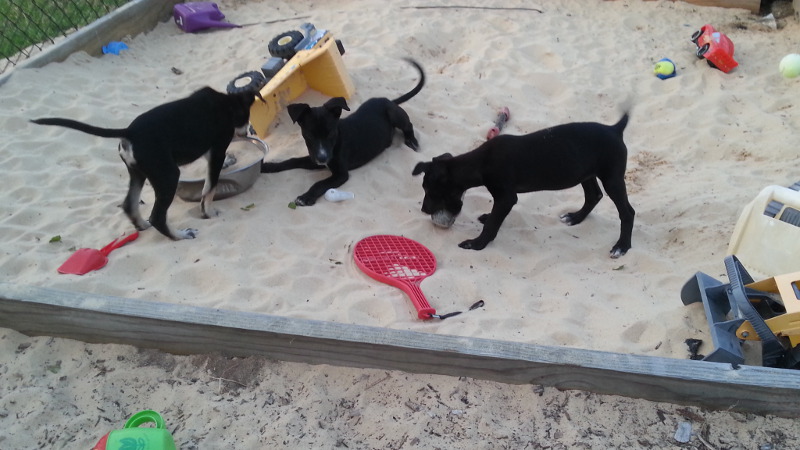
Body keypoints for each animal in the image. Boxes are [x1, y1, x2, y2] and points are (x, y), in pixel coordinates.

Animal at [29, 88, 256, 243]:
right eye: (246, 116)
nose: (247, 133)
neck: (225, 103)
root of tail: (129, 132)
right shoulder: (217, 149)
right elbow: (209, 188)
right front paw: (208, 213)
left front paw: (230, 161)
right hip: (168, 175)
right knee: (157, 216)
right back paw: (180, 235)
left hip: (138, 173)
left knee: (129, 204)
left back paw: (142, 225)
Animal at [260, 57, 424, 206]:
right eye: (309, 135)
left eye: (331, 134)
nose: (323, 158)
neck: (336, 142)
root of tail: (388, 100)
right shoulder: (314, 158)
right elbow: (293, 160)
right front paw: (268, 166)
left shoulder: (340, 174)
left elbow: (319, 184)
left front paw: (306, 197)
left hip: (394, 114)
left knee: (409, 125)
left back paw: (411, 141)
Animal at [416, 112, 636, 258]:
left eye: (432, 192)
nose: (424, 210)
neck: (481, 162)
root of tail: (614, 129)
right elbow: (493, 217)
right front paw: (485, 218)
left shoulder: (506, 198)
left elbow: (493, 223)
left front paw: (477, 243)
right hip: (585, 173)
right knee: (593, 196)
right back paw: (575, 217)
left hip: (612, 179)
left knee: (627, 212)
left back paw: (622, 246)